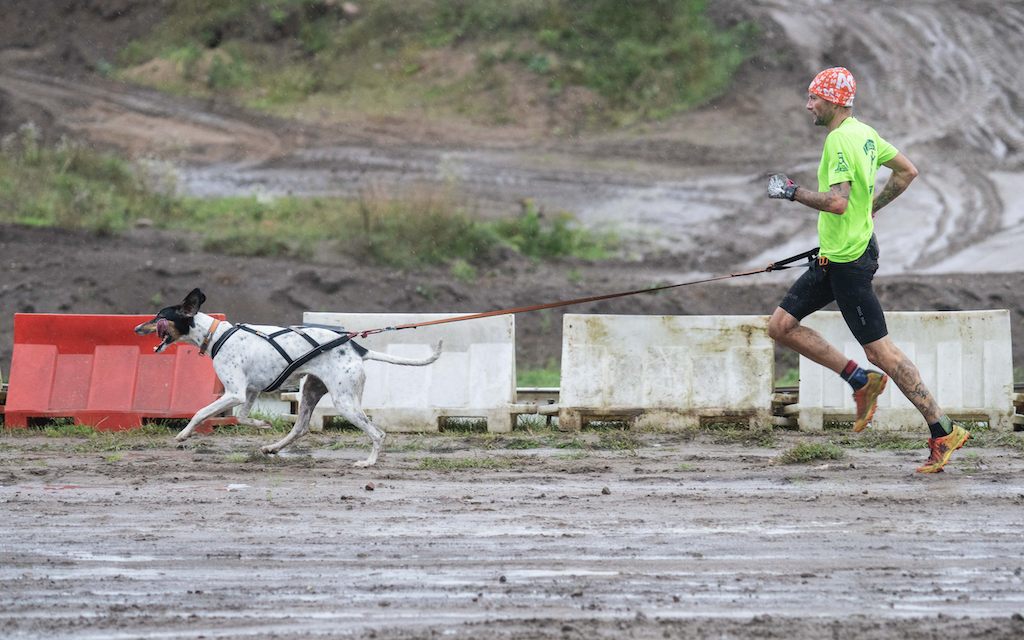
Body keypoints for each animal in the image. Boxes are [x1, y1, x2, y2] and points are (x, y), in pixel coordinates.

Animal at [133, 288, 440, 464]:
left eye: (159, 316)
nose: (136, 328)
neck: (216, 335)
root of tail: (356, 347)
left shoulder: (234, 393)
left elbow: (200, 413)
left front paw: (183, 435)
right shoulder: (250, 392)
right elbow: (243, 417)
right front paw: (263, 424)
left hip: (345, 402)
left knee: (378, 433)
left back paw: (368, 462)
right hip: (311, 393)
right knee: (300, 428)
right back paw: (272, 447)